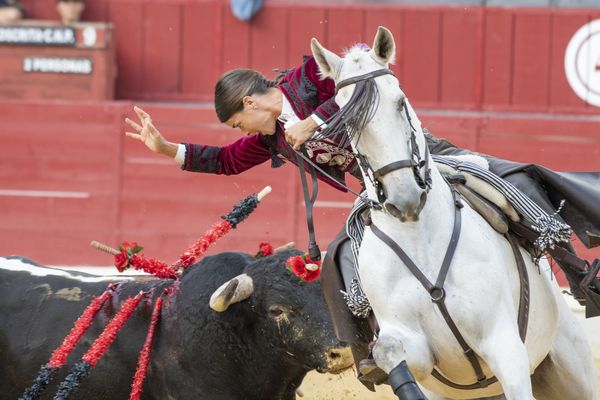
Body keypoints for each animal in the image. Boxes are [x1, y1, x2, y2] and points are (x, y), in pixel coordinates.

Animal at [312, 27, 596, 400]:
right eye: (346, 119)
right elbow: (389, 350)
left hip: (572, 373)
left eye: (399, 101)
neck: (421, 241)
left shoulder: (505, 346)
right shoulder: (416, 352)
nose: (405, 197)